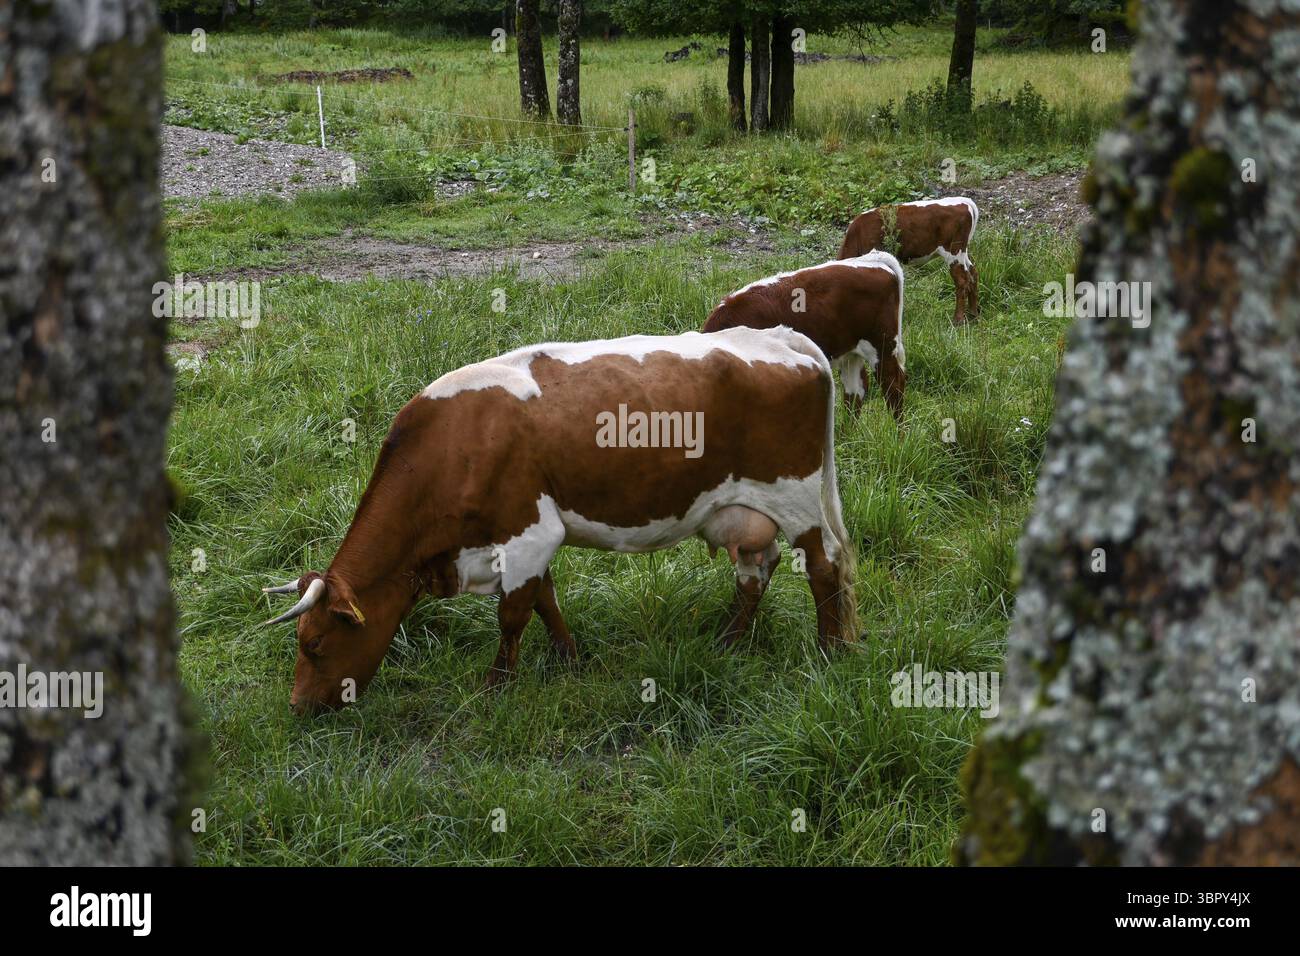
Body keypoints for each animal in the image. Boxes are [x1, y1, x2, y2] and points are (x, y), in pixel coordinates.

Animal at [262, 327, 859, 714]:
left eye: (314, 645)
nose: (297, 707)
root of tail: (781, 337)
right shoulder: (524, 542)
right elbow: (545, 601)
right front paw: (569, 660)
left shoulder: (528, 533)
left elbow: (513, 614)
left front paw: (496, 687)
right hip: (747, 510)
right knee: (756, 570)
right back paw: (730, 641)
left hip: (796, 497)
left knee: (824, 566)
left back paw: (830, 652)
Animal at [702, 251, 906, 422]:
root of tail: (873, 259)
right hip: (850, 352)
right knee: (855, 391)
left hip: (882, 344)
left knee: (893, 384)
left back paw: (898, 435)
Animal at [838, 196, 979, 325]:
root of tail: (964, 201)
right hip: (963, 251)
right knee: (973, 273)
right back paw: (973, 314)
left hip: (953, 251)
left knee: (962, 280)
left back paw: (958, 320)